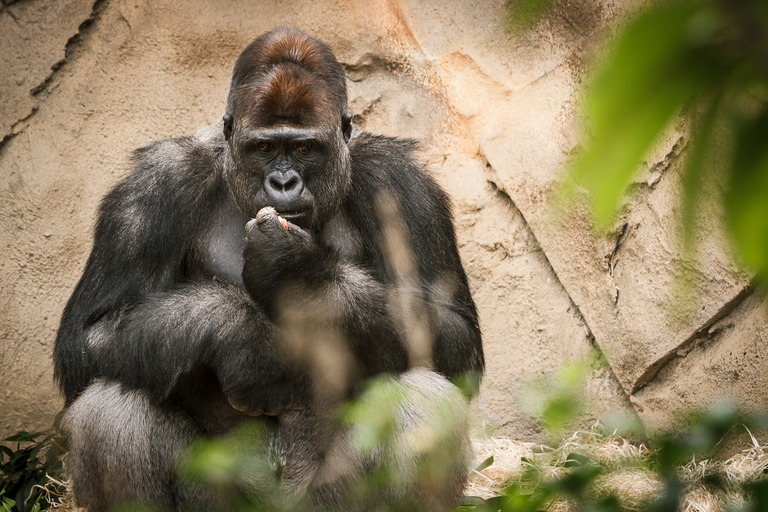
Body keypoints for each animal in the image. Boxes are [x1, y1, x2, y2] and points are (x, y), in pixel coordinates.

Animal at [57, 27, 484, 512]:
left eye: (302, 147)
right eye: (263, 148)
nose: (283, 182)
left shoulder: (401, 183)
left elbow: (456, 335)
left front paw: (300, 272)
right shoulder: (154, 185)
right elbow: (88, 336)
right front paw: (239, 333)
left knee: (422, 400)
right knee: (112, 405)